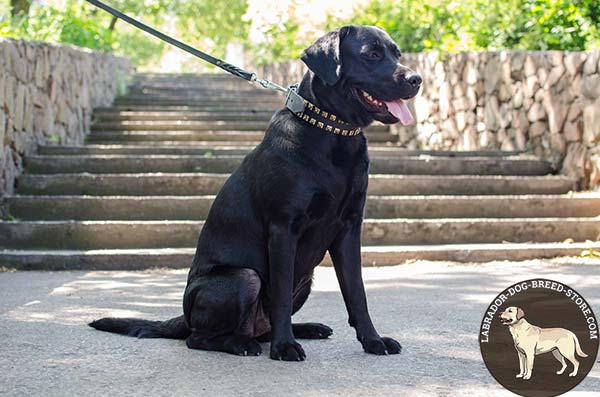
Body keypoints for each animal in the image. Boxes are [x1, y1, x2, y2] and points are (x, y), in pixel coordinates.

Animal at [92, 24, 422, 358]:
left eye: (397, 53)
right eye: (371, 54)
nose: (416, 79)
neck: (333, 132)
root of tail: (184, 316)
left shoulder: (350, 227)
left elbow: (357, 293)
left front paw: (373, 340)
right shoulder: (283, 227)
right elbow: (281, 297)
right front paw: (285, 346)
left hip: (306, 279)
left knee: (260, 327)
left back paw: (306, 329)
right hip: (243, 278)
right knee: (199, 338)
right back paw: (243, 343)